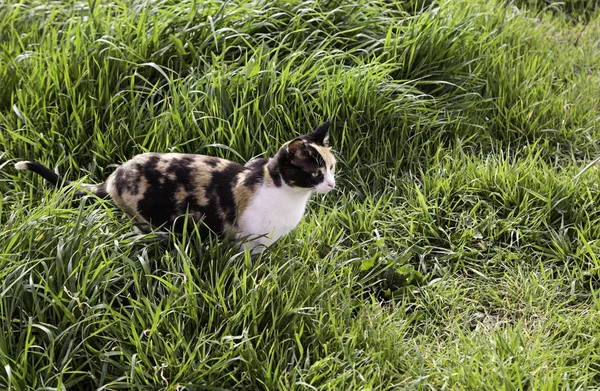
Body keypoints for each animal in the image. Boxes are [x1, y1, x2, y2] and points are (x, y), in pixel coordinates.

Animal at [14, 121, 336, 253]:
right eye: (315, 173)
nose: (332, 184)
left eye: (332, 167)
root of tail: (113, 177)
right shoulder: (249, 242)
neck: (283, 190)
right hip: (147, 218)